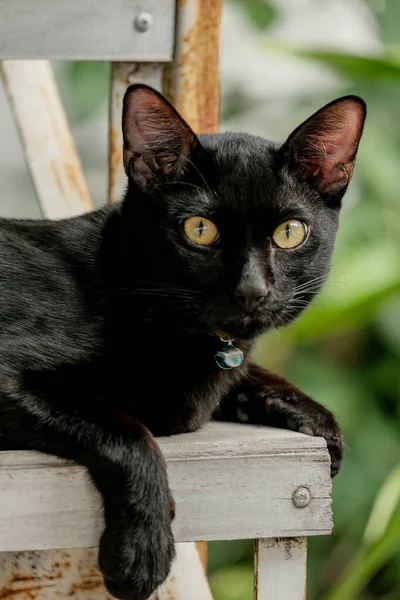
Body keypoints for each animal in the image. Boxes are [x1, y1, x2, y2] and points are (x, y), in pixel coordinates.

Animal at [0, 84, 366, 600]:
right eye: (199, 229)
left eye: (290, 232)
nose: (251, 289)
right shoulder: (11, 374)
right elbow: (127, 433)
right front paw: (143, 551)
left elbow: (242, 374)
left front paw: (317, 421)